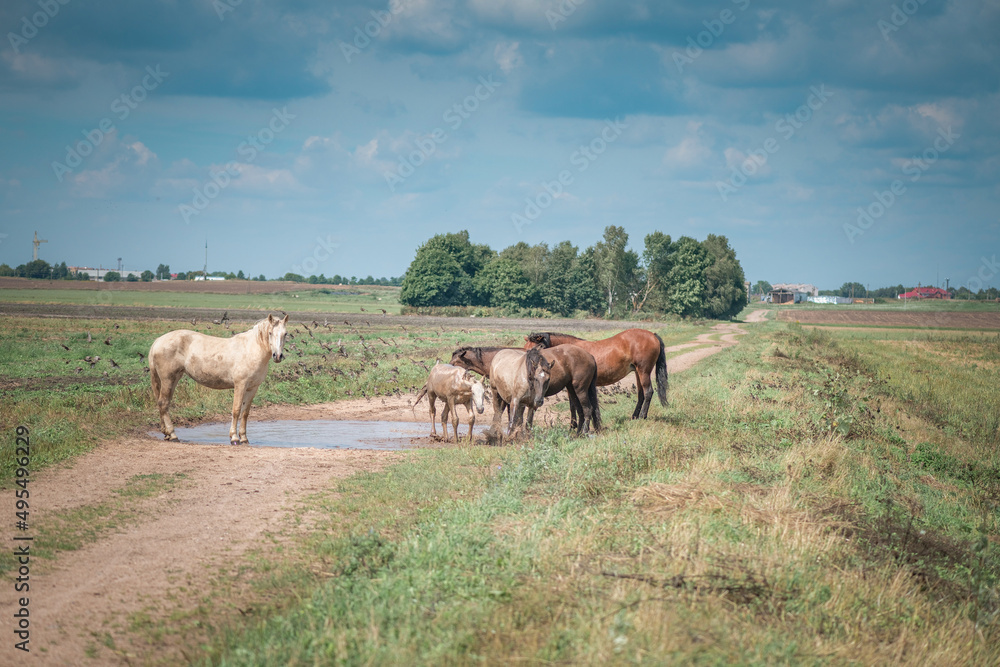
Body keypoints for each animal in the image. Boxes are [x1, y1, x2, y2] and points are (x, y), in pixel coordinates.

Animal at [149, 314, 290, 448]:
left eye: (285, 333)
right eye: (270, 333)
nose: (278, 356)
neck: (251, 350)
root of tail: (158, 341)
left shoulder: (252, 388)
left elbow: (245, 413)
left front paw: (244, 438)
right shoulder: (240, 385)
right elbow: (236, 410)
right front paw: (234, 438)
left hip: (174, 379)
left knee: (163, 404)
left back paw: (166, 434)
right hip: (168, 379)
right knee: (163, 403)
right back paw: (173, 435)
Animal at [452, 344, 600, 434]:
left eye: (454, 362)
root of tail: (591, 356)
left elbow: (506, 414)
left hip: (580, 389)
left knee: (587, 409)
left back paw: (584, 432)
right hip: (572, 389)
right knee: (581, 411)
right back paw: (578, 432)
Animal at [524, 332, 664, 420]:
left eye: (539, 346)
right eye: (526, 346)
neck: (566, 352)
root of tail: (653, 335)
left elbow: (573, 406)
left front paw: (573, 426)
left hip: (644, 371)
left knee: (648, 392)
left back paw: (642, 416)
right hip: (638, 373)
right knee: (641, 394)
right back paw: (635, 416)